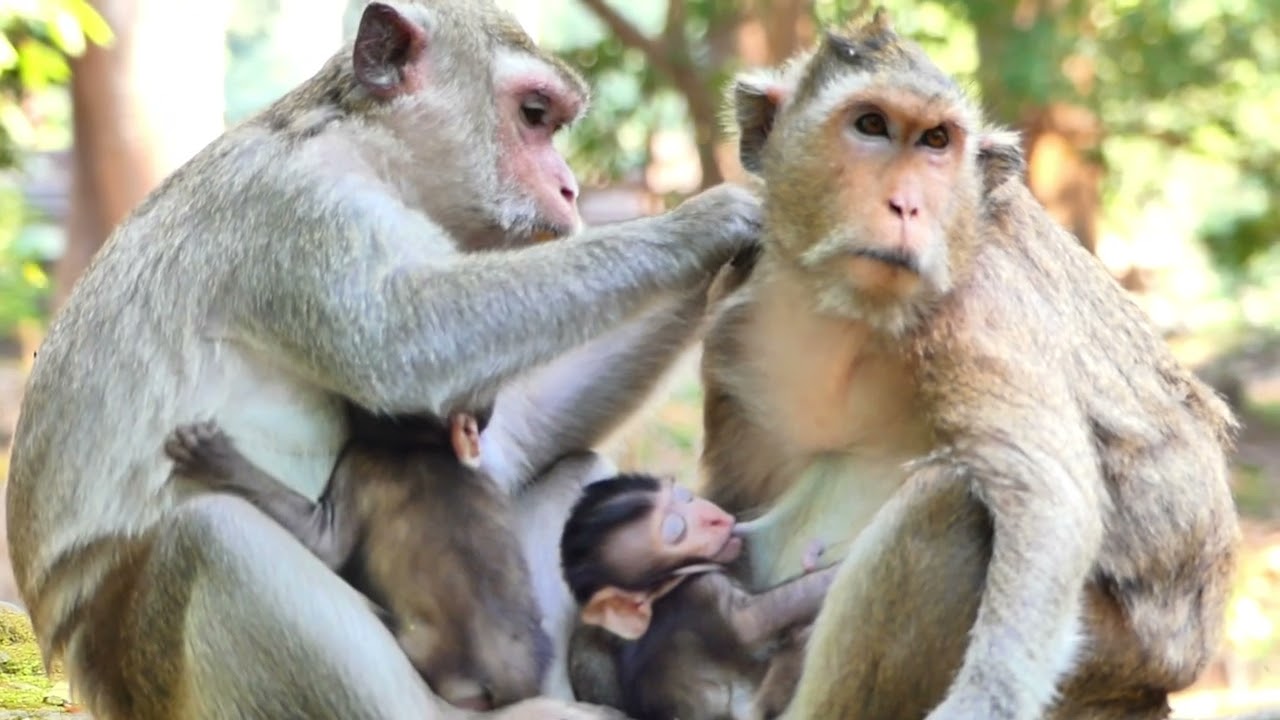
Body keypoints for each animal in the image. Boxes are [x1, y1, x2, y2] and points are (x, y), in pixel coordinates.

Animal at [560, 473, 837, 720]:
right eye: (678, 530)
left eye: (686, 497)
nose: (715, 519)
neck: (668, 588)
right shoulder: (702, 590)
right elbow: (753, 621)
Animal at [694, 10, 1240, 720]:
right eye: (870, 125)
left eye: (936, 141)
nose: (907, 206)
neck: (854, 314)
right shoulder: (739, 315)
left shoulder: (977, 310)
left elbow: (1047, 502)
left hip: (1107, 659)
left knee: (950, 502)